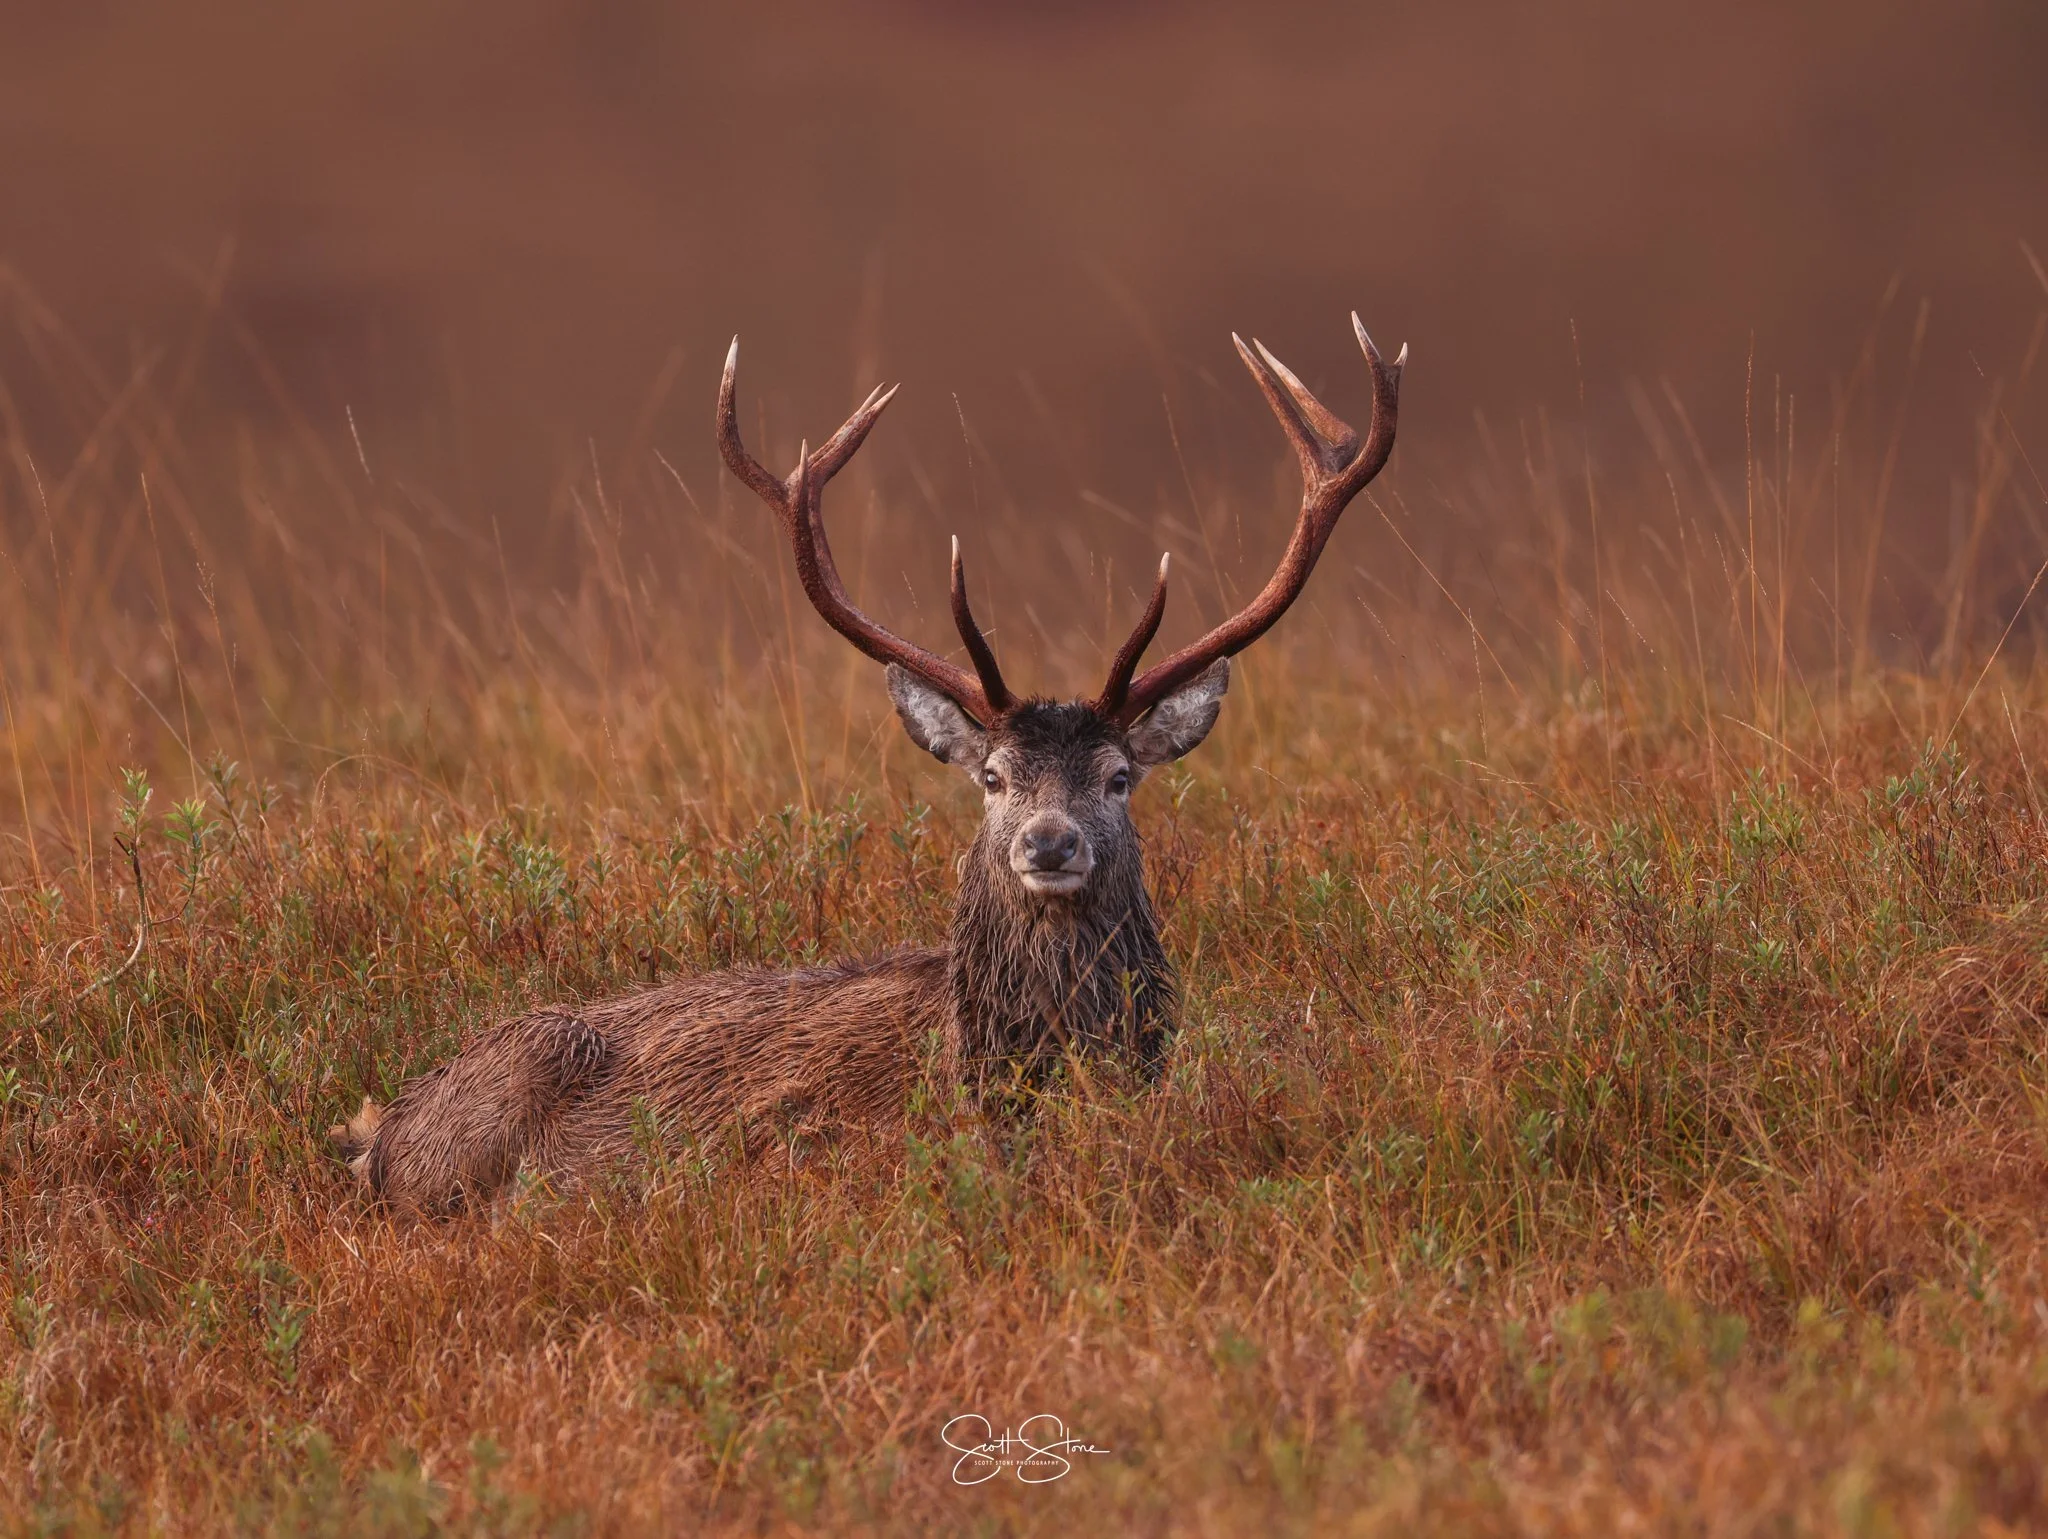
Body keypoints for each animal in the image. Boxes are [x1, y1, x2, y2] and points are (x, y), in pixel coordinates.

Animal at [333, 314, 1403, 1210]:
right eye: (991, 777)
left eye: (1118, 777)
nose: (1050, 844)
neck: (992, 1063)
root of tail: (379, 1131)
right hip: (496, 1100)